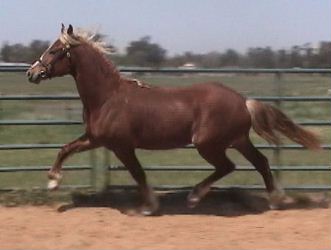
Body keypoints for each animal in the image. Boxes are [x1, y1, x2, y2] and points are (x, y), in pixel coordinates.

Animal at [27, 24, 320, 215]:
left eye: (55, 50)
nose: (32, 73)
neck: (108, 97)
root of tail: (243, 101)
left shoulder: (122, 146)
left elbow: (138, 173)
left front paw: (149, 207)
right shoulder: (96, 139)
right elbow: (65, 149)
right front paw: (53, 181)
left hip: (208, 144)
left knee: (228, 167)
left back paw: (194, 197)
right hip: (238, 140)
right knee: (261, 162)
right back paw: (275, 200)